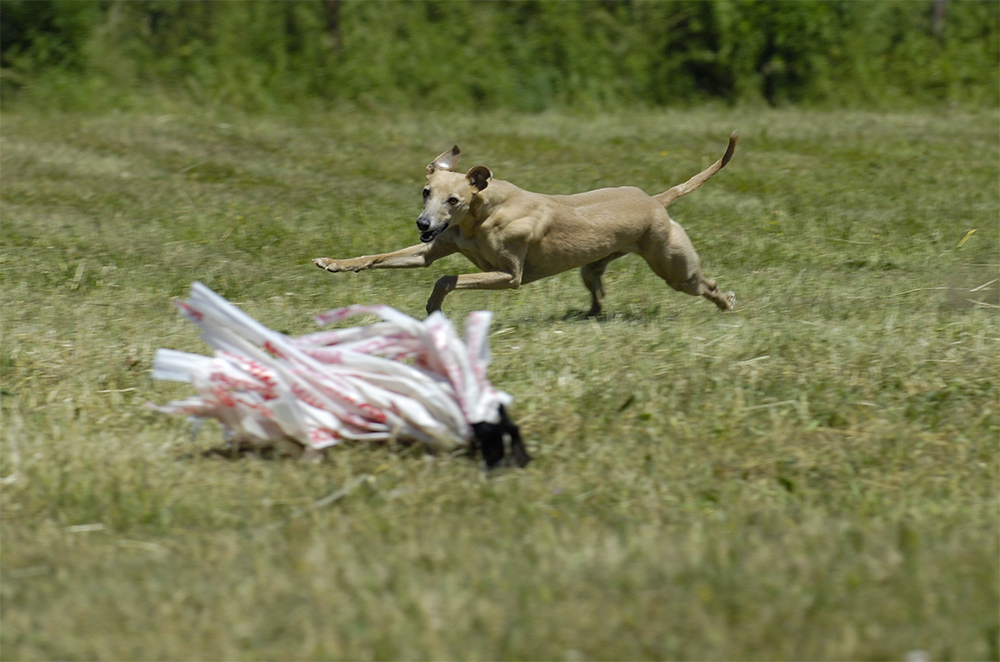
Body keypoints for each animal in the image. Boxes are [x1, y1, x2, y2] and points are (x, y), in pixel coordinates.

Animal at [316, 134, 740, 318]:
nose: (423, 223)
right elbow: (380, 257)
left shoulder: (509, 275)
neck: (482, 214)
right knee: (596, 286)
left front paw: (434, 307)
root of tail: (655, 200)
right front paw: (333, 263)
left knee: (705, 284)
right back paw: (591, 312)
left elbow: (447, 278)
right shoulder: (432, 248)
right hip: (593, 265)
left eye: (453, 200)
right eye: (425, 191)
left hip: (675, 268)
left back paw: (725, 302)